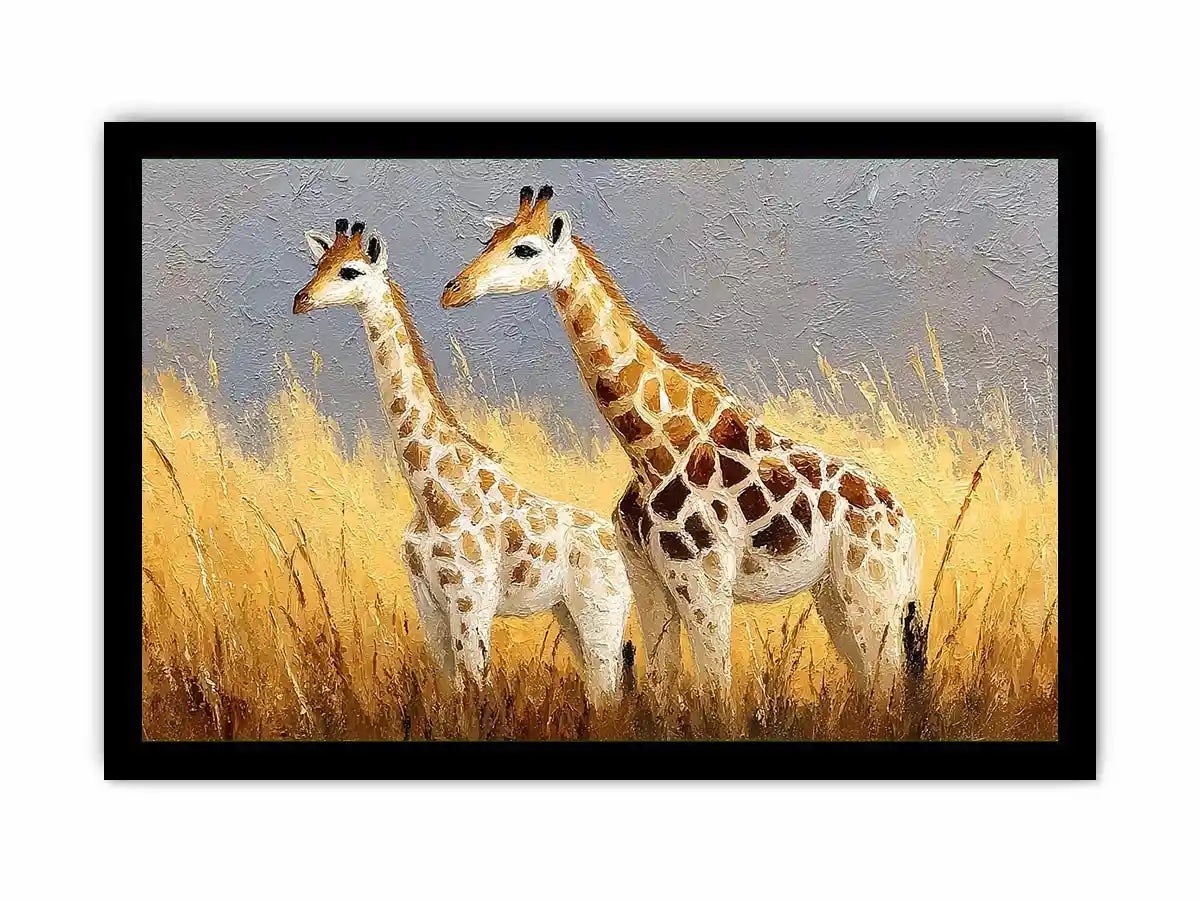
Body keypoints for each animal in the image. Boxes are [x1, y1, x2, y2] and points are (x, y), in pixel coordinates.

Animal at [292, 218, 633, 702]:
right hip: (568, 612)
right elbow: (450, 691)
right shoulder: (428, 601)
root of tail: (618, 543)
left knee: (607, 689)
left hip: (600, 609)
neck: (431, 496)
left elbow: (475, 686)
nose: (300, 299)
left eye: (350, 271)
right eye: (318, 264)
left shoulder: (471, 600)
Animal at [442, 187, 927, 699]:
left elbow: (716, 688)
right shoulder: (647, 579)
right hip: (836, 592)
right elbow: (662, 682)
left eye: (525, 249)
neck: (650, 447)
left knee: (887, 680)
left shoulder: (703, 579)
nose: (453, 290)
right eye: (490, 240)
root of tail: (906, 524)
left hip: (872, 588)